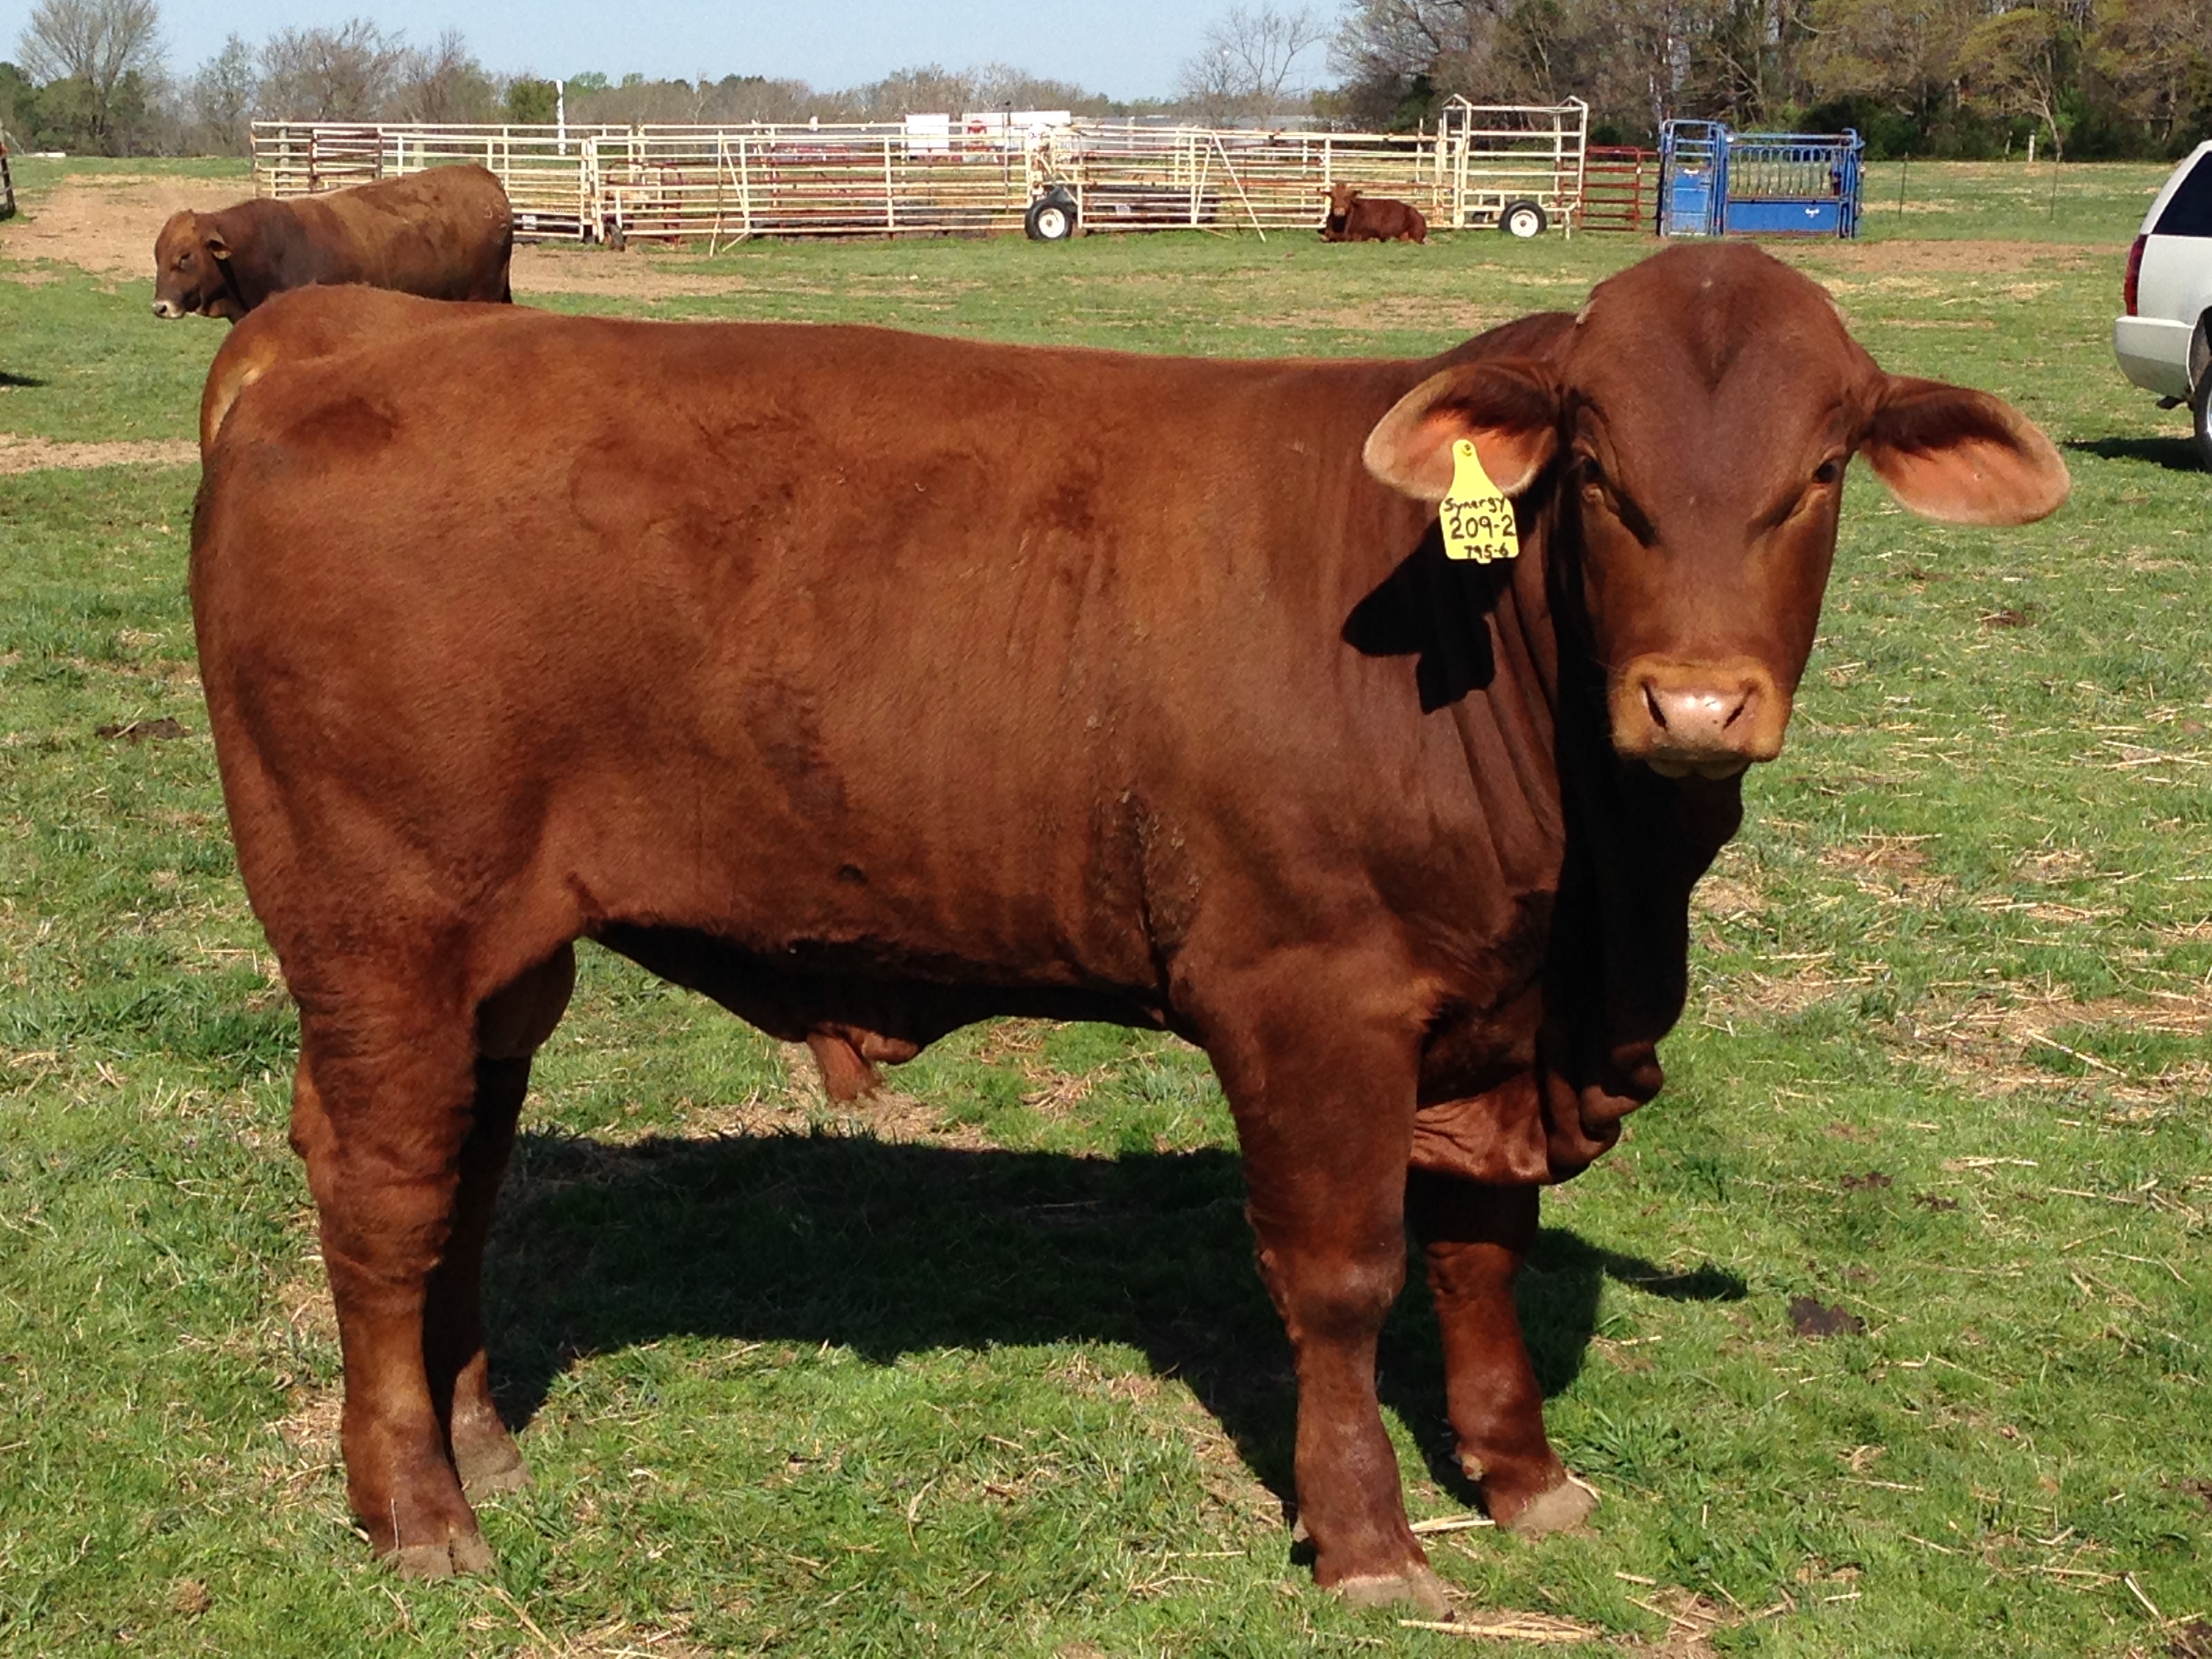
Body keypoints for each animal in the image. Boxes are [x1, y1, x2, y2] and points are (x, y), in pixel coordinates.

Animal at [189, 244, 2068, 1607]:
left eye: (1819, 472)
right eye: (1597, 473)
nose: (1692, 702)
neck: (1595, 904)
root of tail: (344, 331)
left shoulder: (1491, 1014)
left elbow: (1481, 1253)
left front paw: (1526, 1480)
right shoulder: (1309, 993)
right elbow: (1343, 1274)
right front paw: (1369, 1544)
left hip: (500, 954)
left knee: (471, 1160)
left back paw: (482, 1442)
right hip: (381, 924)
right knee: (384, 1184)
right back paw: (417, 1509)